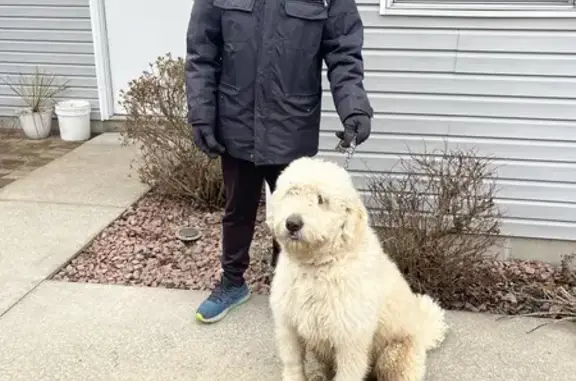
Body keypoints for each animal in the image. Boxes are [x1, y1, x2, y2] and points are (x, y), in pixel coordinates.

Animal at [268, 156, 448, 378]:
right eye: (291, 193)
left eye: (321, 199)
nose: (292, 223)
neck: (316, 266)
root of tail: (423, 331)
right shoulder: (288, 326)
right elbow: (293, 363)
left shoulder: (350, 339)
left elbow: (348, 372)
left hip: (394, 354)